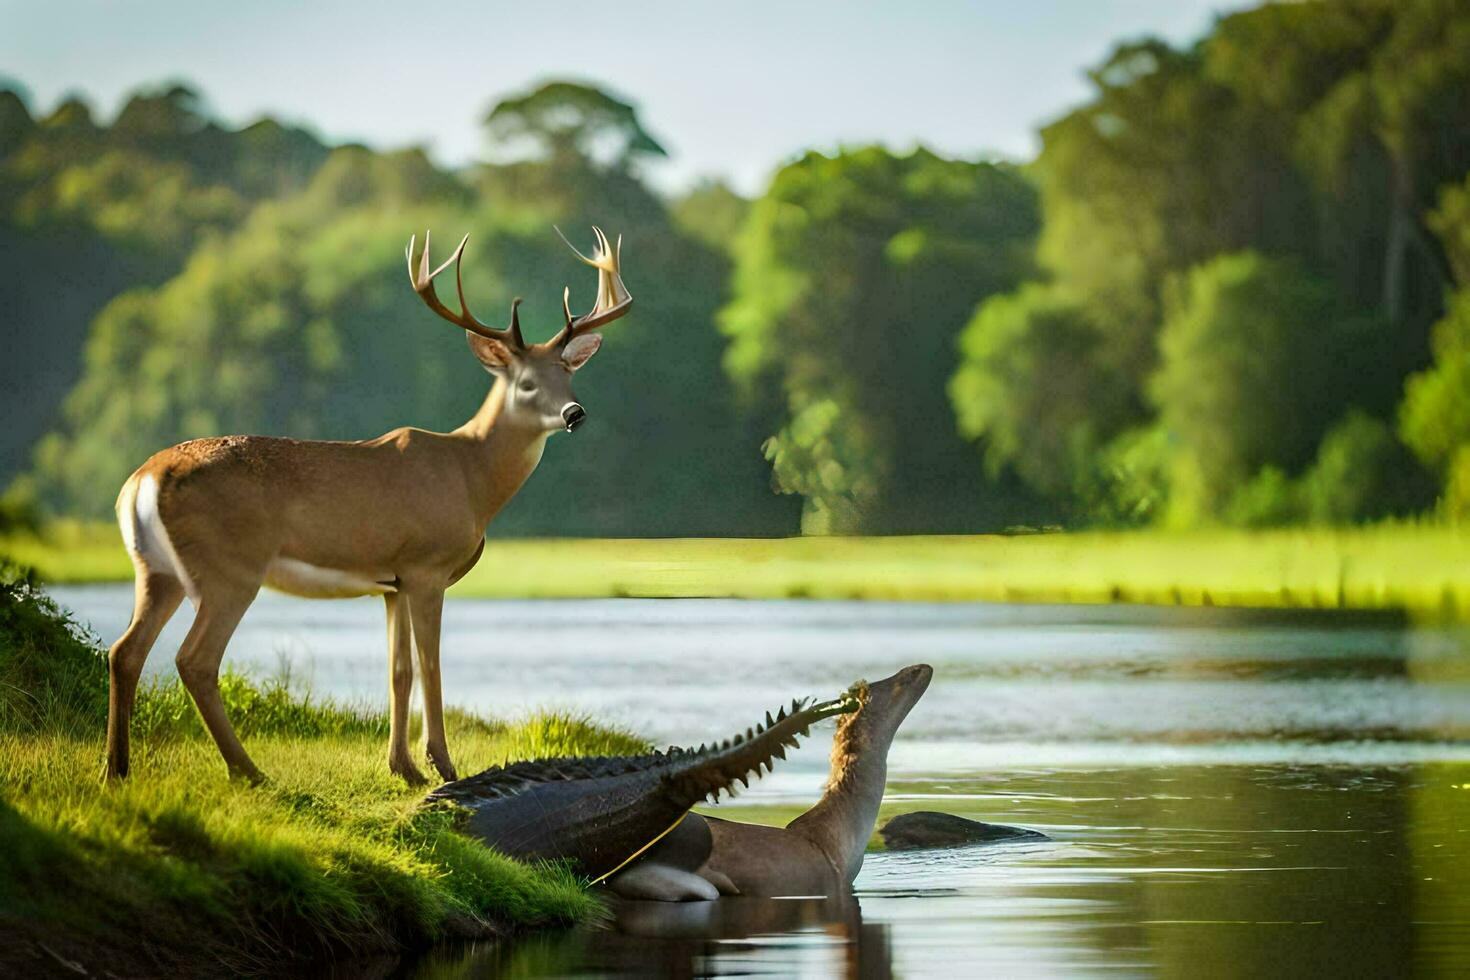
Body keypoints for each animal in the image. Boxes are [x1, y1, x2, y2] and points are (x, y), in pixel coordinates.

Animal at [103, 226, 632, 787]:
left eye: (568, 375)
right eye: (527, 383)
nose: (574, 413)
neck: (469, 473)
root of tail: (142, 479)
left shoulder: (391, 583)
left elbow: (399, 671)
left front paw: (403, 768)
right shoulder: (426, 568)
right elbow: (431, 665)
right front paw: (443, 765)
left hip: (157, 570)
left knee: (125, 651)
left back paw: (117, 770)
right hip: (229, 568)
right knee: (194, 660)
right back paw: (248, 771)